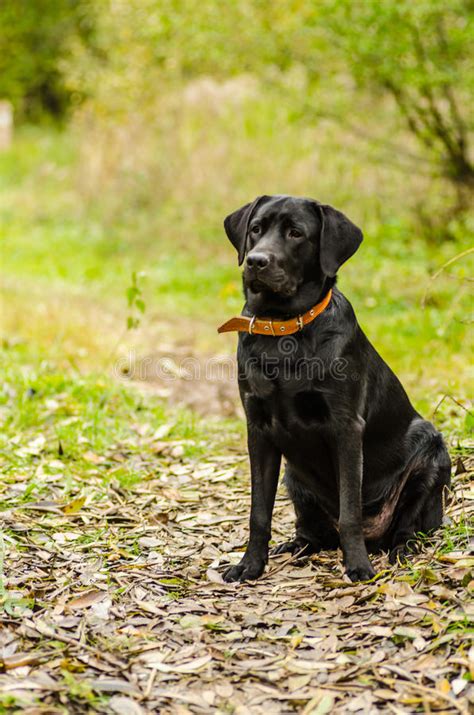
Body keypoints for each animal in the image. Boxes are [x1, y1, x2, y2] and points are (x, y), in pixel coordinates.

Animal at [220, 194, 450, 580]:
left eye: (296, 233)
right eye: (256, 229)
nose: (256, 261)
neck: (284, 330)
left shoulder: (346, 427)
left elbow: (350, 511)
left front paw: (357, 565)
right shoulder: (258, 429)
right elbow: (259, 512)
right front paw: (250, 564)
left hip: (431, 456)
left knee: (409, 527)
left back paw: (401, 549)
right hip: (295, 478)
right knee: (313, 532)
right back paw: (296, 546)